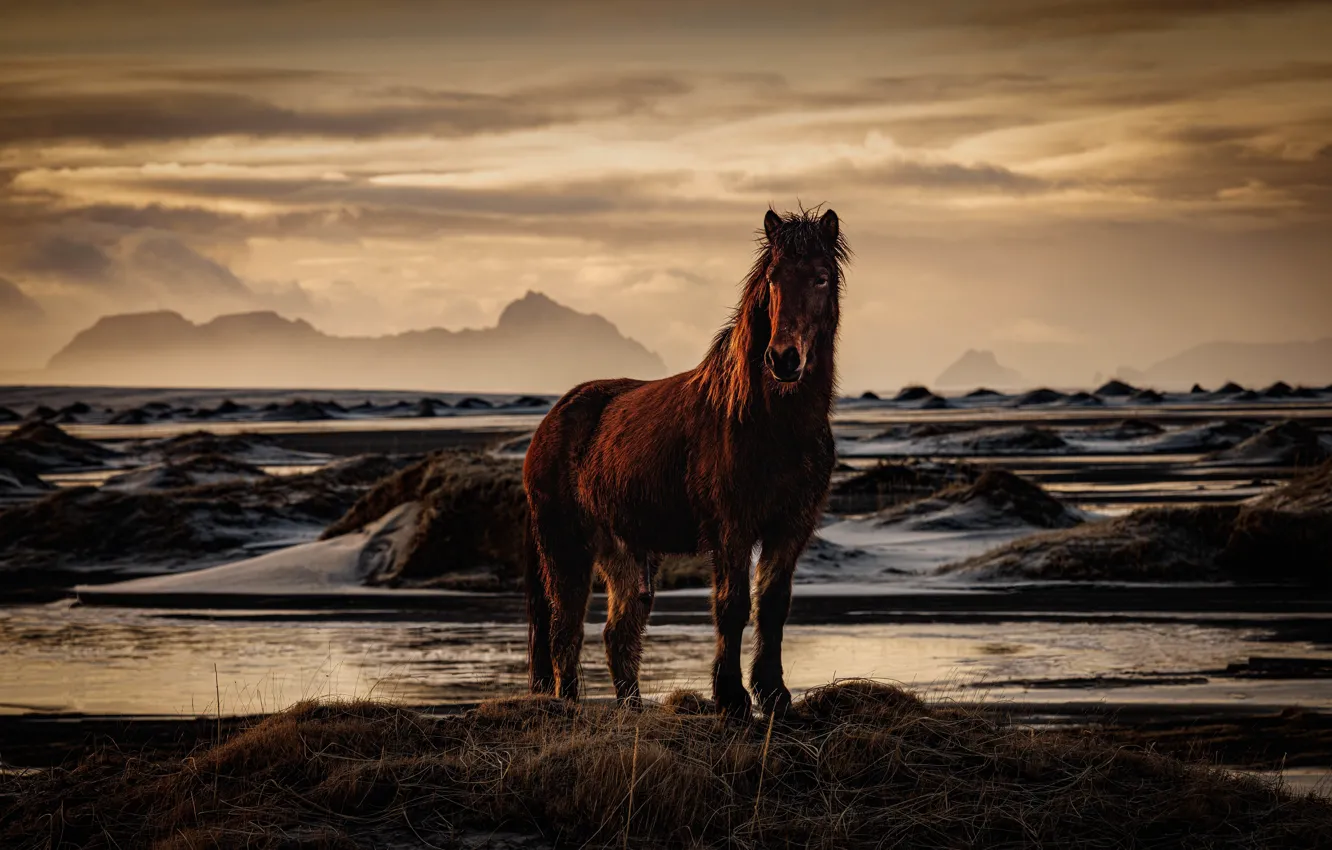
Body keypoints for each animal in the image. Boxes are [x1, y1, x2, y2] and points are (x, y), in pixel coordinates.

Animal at [524, 207, 847, 719]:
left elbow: (773, 606)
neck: (769, 423)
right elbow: (732, 606)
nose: (783, 359)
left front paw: (774, 695)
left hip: (624, 551)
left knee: (618, 633)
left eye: (821, 278)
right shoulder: (732, 527)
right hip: (566, 547)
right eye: (772, 279)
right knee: (564, 631)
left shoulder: (791, 527)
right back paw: (569, 706)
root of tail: (551, 420)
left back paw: (633, 711)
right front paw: (731, 698)